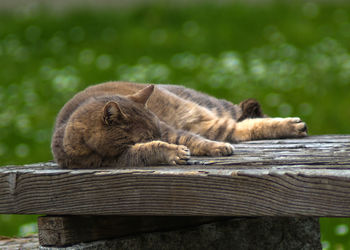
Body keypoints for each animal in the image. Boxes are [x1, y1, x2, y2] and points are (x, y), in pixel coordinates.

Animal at [51, 81, 306, 169]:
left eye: (156, 131)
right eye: (146, 136)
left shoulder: (169, 129)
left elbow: (192, 139)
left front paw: (213, 148)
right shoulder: (114, 159)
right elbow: (148, 150)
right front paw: (173, 152)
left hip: (206, 115)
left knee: (237, 123)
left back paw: (294, 125)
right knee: (238, 127)